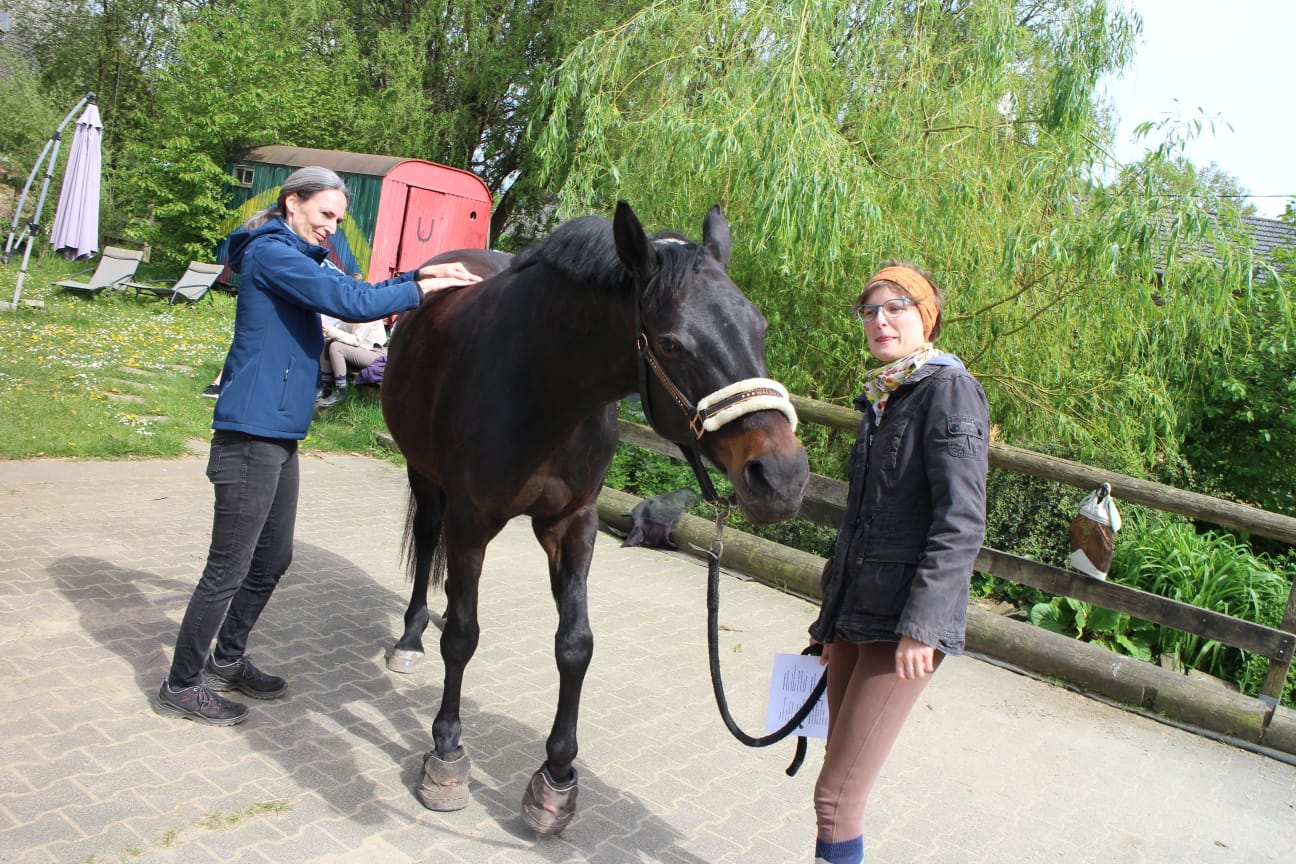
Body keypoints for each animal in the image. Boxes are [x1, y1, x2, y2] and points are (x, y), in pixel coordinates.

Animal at [378, 203, 798, 839]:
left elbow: (575, 645)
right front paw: (446, 756)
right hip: (425, 476)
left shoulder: (573, 523)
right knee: (429, 542)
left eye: (761, 327)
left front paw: (555, 779)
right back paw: (409, 636)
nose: (781, 477)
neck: (541, 384)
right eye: (671, 343)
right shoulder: (471, 520)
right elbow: (463, 638)